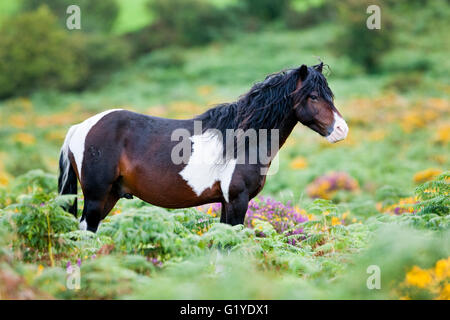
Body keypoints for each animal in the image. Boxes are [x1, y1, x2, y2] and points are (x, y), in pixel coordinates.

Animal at [58, 62, 350, 232]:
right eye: (313, 96)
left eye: (330, 95)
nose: (341, 130)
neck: (242, 140)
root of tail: (80, 127)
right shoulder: (237, 200)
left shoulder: (225, 202)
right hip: (96, 197)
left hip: (109, 196)